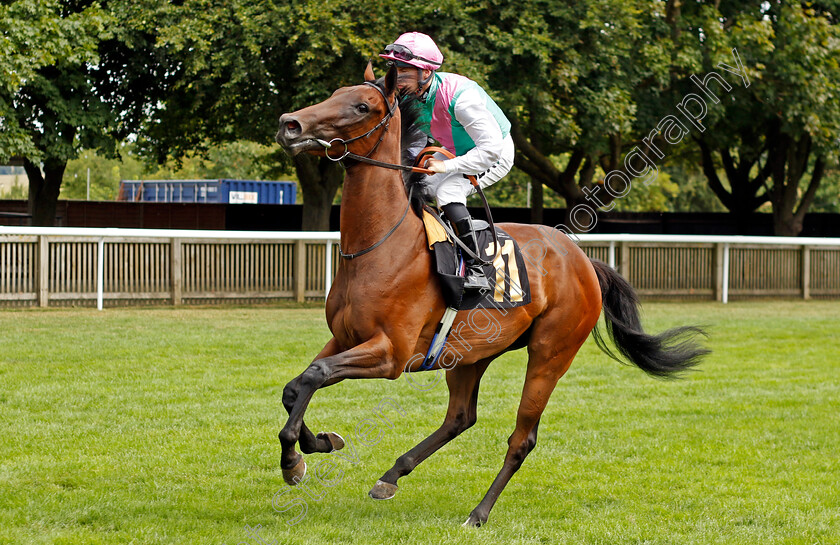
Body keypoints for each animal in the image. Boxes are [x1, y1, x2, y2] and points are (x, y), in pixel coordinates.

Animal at [276, 65, 708, 528]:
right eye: (335, 92)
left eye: (362, 106)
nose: (289, 124)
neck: (380, 246)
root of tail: (583, 260)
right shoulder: (345, 338)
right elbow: (297, 384)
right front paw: (317, 443)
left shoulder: (390, 353)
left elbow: (315, 375)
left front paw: (294, 462)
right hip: (470, 353)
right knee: (460, 417)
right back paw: (391, 476)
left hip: (549, 356)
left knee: (522, 438)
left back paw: (478, 512)